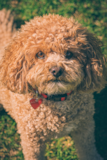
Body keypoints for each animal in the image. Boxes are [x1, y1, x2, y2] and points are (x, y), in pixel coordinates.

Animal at [0, 9, 106, 159]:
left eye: (69, 54)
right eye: (40, 54)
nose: (56, 70)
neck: (56, 98)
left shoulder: (84, 128)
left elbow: (87, 149)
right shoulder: (31, 140)